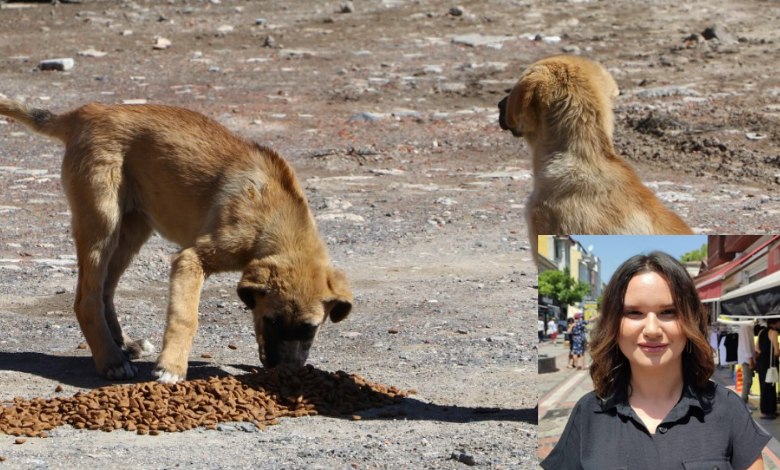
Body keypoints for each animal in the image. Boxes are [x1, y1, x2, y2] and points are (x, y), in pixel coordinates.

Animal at [0, 98, 354, 382]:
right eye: (272, 321)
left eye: (310, 328)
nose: (286, 371)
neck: (275, 218)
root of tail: (88, 111)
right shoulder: (191, 258)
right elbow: (186, 317)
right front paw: (171, 367)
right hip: (102, 222)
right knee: (86, 299)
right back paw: (111, 361)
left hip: (131, 231)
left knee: (104, 292)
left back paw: (123, 344)